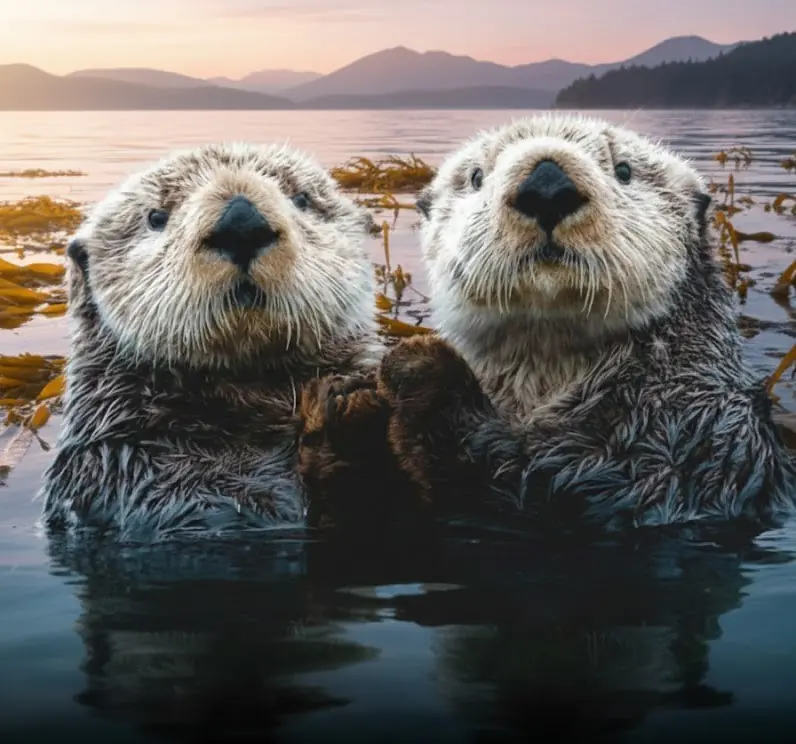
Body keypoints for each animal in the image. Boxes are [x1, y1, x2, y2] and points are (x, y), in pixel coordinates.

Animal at [299, 114, 796, 531]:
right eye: (476, 176)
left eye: (624, 170)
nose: (547, 185)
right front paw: (348, 406)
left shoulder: (693, 433)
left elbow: (565, 482)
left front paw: (420, 368)